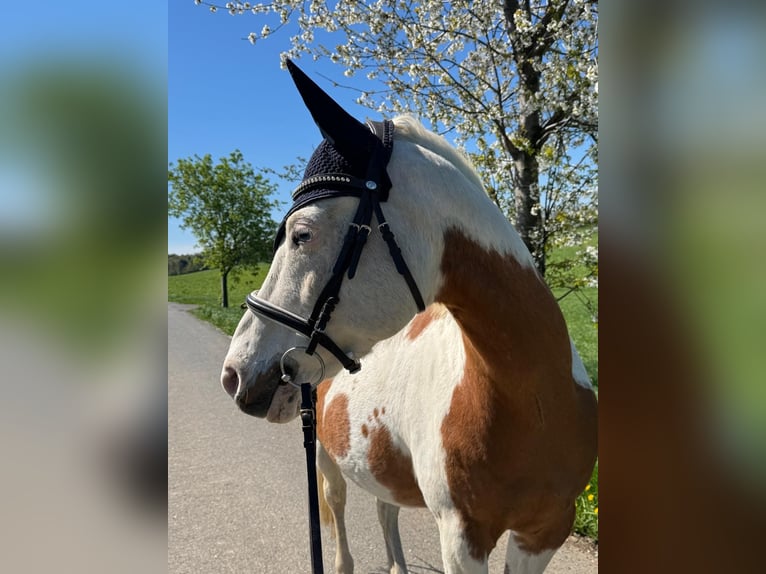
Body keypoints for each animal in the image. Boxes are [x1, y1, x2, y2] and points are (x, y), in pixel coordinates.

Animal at [220, 60, 597, 574]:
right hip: (325, 458)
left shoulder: (545, 532)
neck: (532, 400)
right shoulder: (462, 539)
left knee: (386, 509)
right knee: (338, 510)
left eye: (302, 234)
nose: (235, 373)